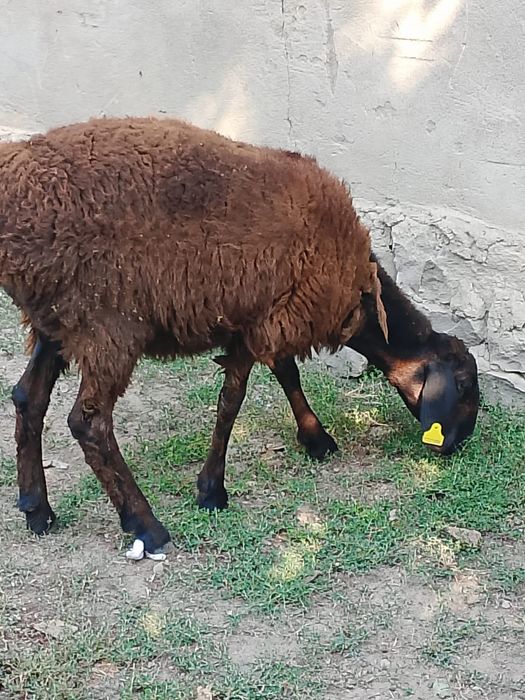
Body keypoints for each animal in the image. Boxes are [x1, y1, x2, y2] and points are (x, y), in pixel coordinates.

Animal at [0, 117, 479, 557]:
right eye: (463, 384)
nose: (457, 445)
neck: (356, 291)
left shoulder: (271, 315)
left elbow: (286, 375)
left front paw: (316, 439)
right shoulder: (262, 321)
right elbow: (233, 401)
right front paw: (212, 490)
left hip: (56, 318)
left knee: (28, 397)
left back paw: (37, 510)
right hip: (106, 323)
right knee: (88, 422)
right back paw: (145, 526)